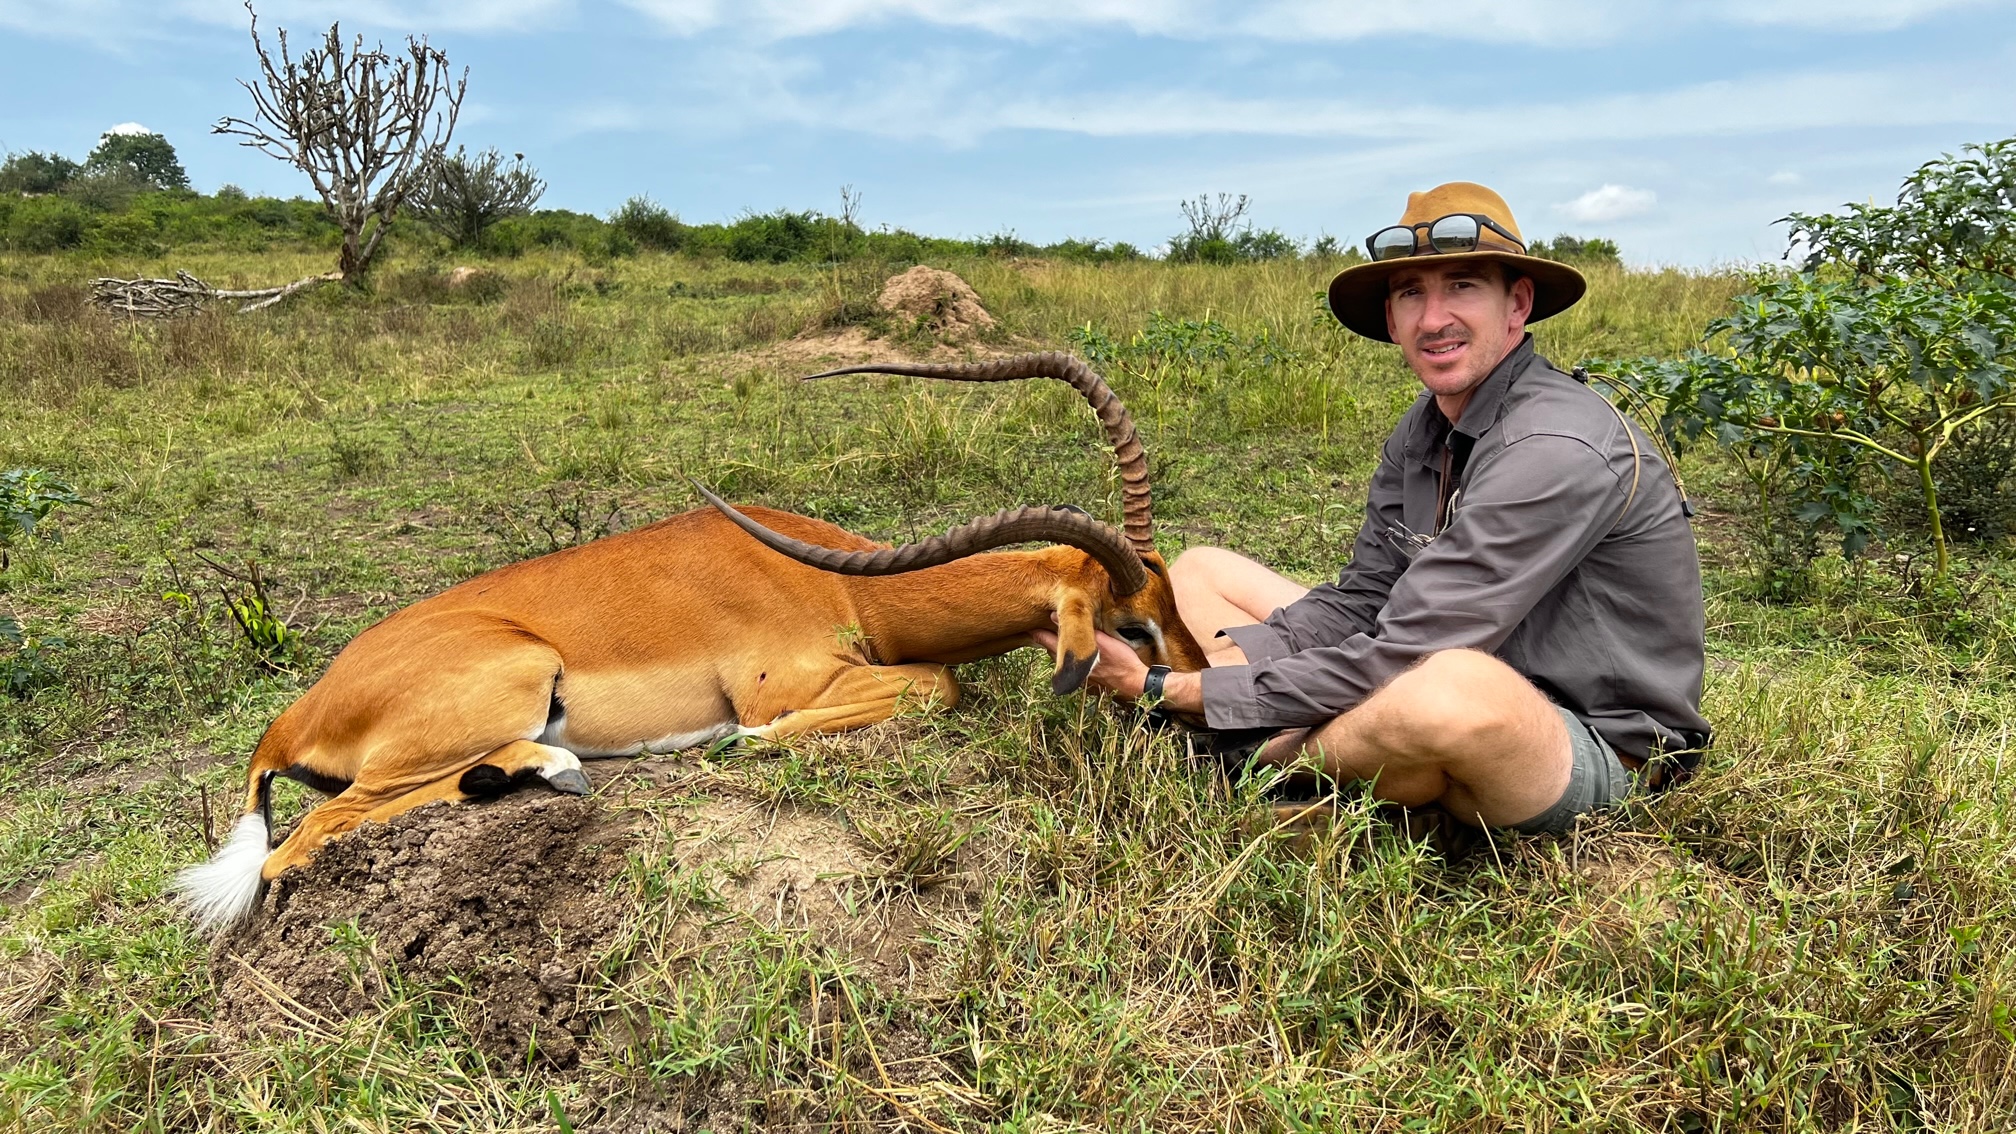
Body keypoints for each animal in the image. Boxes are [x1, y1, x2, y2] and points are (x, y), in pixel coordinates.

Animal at [176, 352, 1209, 933]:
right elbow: (938, 687)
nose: (1203, 686)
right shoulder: (787, 683)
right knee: (298, 844)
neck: (844, 581)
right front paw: (743, 744)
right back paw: (550, 772)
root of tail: (290, 719)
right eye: (1131, 624)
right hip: (515, 676)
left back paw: (540, 774)